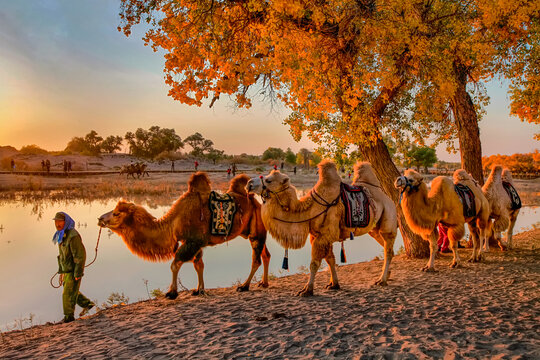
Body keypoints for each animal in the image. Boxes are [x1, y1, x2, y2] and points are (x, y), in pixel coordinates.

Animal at [97, 172, 270, 298]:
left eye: (116, 213)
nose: (100, 219)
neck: (173, 223)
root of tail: (256, 202)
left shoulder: (193, 241)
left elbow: (175, 263)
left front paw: (171, 293)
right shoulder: (196, 243)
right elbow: (198, 265)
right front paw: (199, 290)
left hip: (255, 231)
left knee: (256, 259)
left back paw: (244, 286)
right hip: (252, 230)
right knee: (265, 254)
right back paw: (264, 283)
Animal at [248, 160, 396, 296]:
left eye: (269, 180)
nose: (249, 183)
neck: (308, 211)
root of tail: (387, 197)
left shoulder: (324, 235)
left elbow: (314, 263)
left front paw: (307, 290)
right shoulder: (319, 235)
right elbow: (330, 259)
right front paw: (334, 284)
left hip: (388, 219)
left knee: (388, 249)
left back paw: (382, 280)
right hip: (374, 229)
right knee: (385, 245)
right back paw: (387, 275)